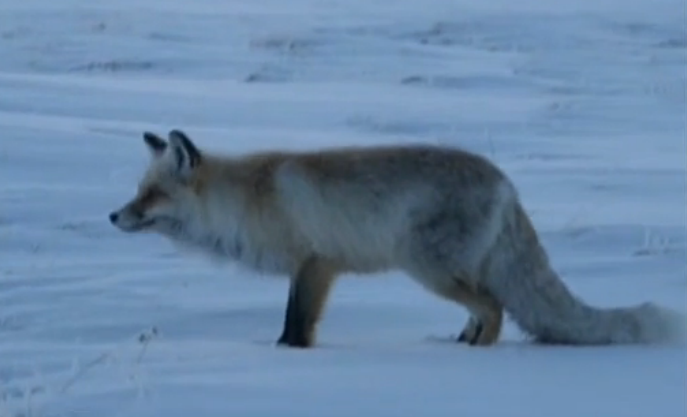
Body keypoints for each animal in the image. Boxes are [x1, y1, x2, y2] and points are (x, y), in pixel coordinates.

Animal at [109, 129, 685, 348]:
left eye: (151, 196)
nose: (113, 216)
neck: (247, 200)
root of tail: (507, 184)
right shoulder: (312, 267)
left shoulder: (316, 263)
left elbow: (296, 326)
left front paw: (288, 357)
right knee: (482, 311)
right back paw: (458, 343)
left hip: (426, 268)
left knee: (495, 308)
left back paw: (480, 356)